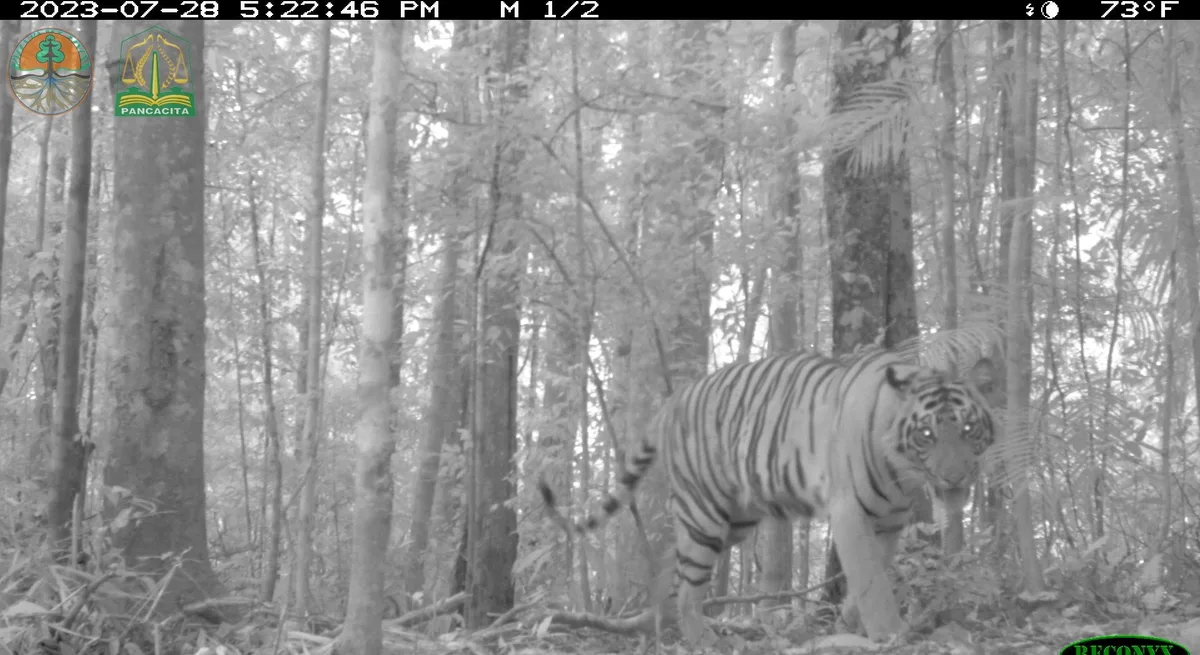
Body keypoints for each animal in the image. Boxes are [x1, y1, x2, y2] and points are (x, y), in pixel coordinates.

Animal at [537, 348, 999, 648]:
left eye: (968, 429)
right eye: (927, 434)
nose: (955, 476)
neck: (904, 475)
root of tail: (676, 398)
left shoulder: (888, 522)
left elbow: (871, 577)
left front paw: (844, 625)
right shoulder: (850, 513)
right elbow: (871, 581)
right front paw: (890, 634)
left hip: (735, 520)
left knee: (671, 566)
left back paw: (655, 623)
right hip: (706, 513)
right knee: (689, 587)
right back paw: (702, 639)